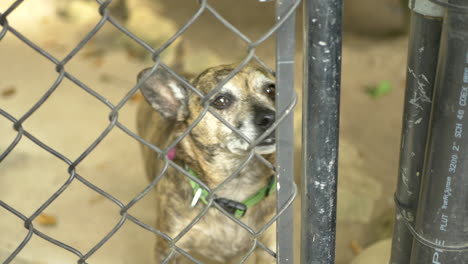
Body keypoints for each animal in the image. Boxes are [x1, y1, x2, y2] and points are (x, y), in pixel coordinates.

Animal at [137, 63, 278, 262]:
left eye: (271, 90)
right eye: (221, 101)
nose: (270, 117)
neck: (238, 183)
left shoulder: (270, 249)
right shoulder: (169, 250)